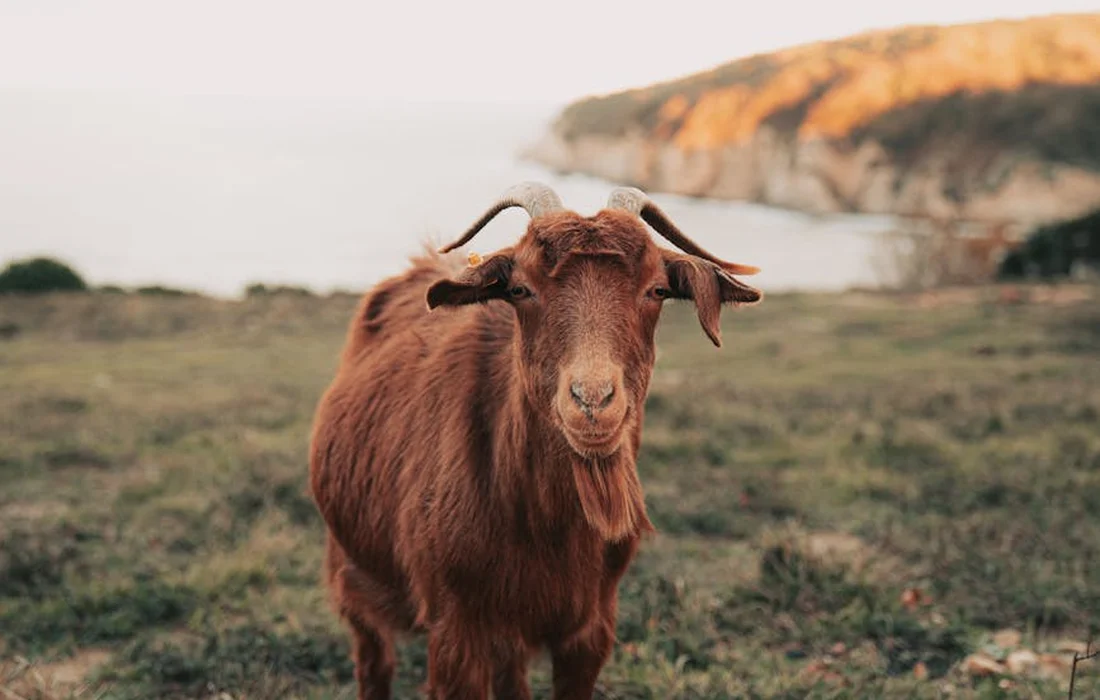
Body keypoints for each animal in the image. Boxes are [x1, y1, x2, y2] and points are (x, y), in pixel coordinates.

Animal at [308, 183, 762, 699]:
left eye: (658, 289)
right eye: (520, 289)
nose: (593, 400)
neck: (545, 527)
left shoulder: (590, 628)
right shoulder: (456, 627)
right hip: (352, 572)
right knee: (373, 660)